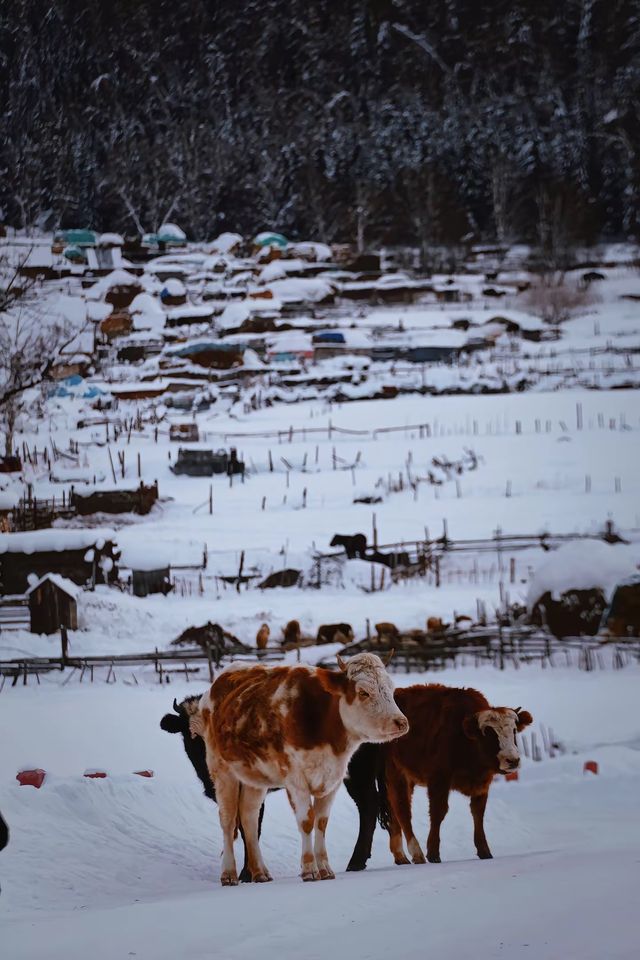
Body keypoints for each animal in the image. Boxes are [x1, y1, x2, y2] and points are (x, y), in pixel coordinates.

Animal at [192, 652, 408, 884]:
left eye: (391, 689)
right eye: (363, 692)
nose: (401, 722)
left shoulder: (333, 779)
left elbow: (321, 822)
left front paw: (325, 868)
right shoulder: (295, 779)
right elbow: (306, 821)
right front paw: (309, 869)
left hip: (255, 776)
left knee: (249, 816)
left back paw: (260, 872)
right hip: (222, 769)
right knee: (228, 820)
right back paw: (229, 873)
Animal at [348, 684, 532, 872]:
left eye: (514, 730)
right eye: (489, 733)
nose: (512, 760)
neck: (464, 735)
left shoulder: (482, 784)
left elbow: (478, 813)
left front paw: (484, 850)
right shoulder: (439, 780)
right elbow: (438, 812)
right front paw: (433, 852)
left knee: (394, 811)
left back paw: (401, 856)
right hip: (396, 775)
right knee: (402, 811)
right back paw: (416, 852)